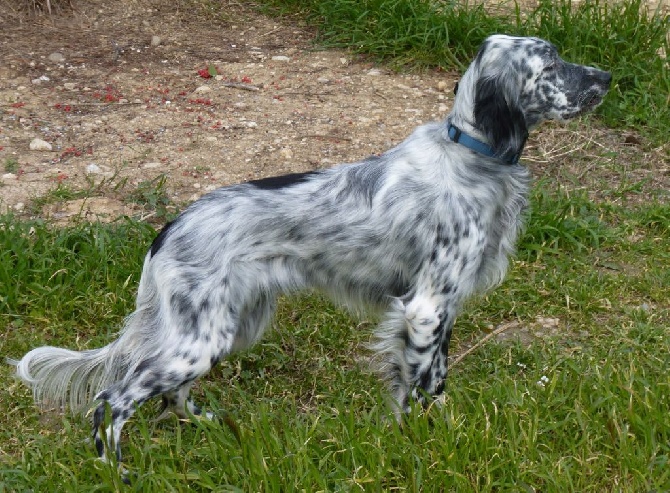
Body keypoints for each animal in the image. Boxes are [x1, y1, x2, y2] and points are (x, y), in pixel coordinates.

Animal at [7, 35, 612, 462]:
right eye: (550, 65)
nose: (607, 75)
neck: (472, 156)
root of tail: (170, 228)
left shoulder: (440, 311)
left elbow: (430, 383)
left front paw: (437, 430)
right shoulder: (425, 309)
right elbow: (418, 388)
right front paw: (422, 443)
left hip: (226, 328)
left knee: (169, 396)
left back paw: (207, 426)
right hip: (200, 339)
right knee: (112, 401)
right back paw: (118, 470)